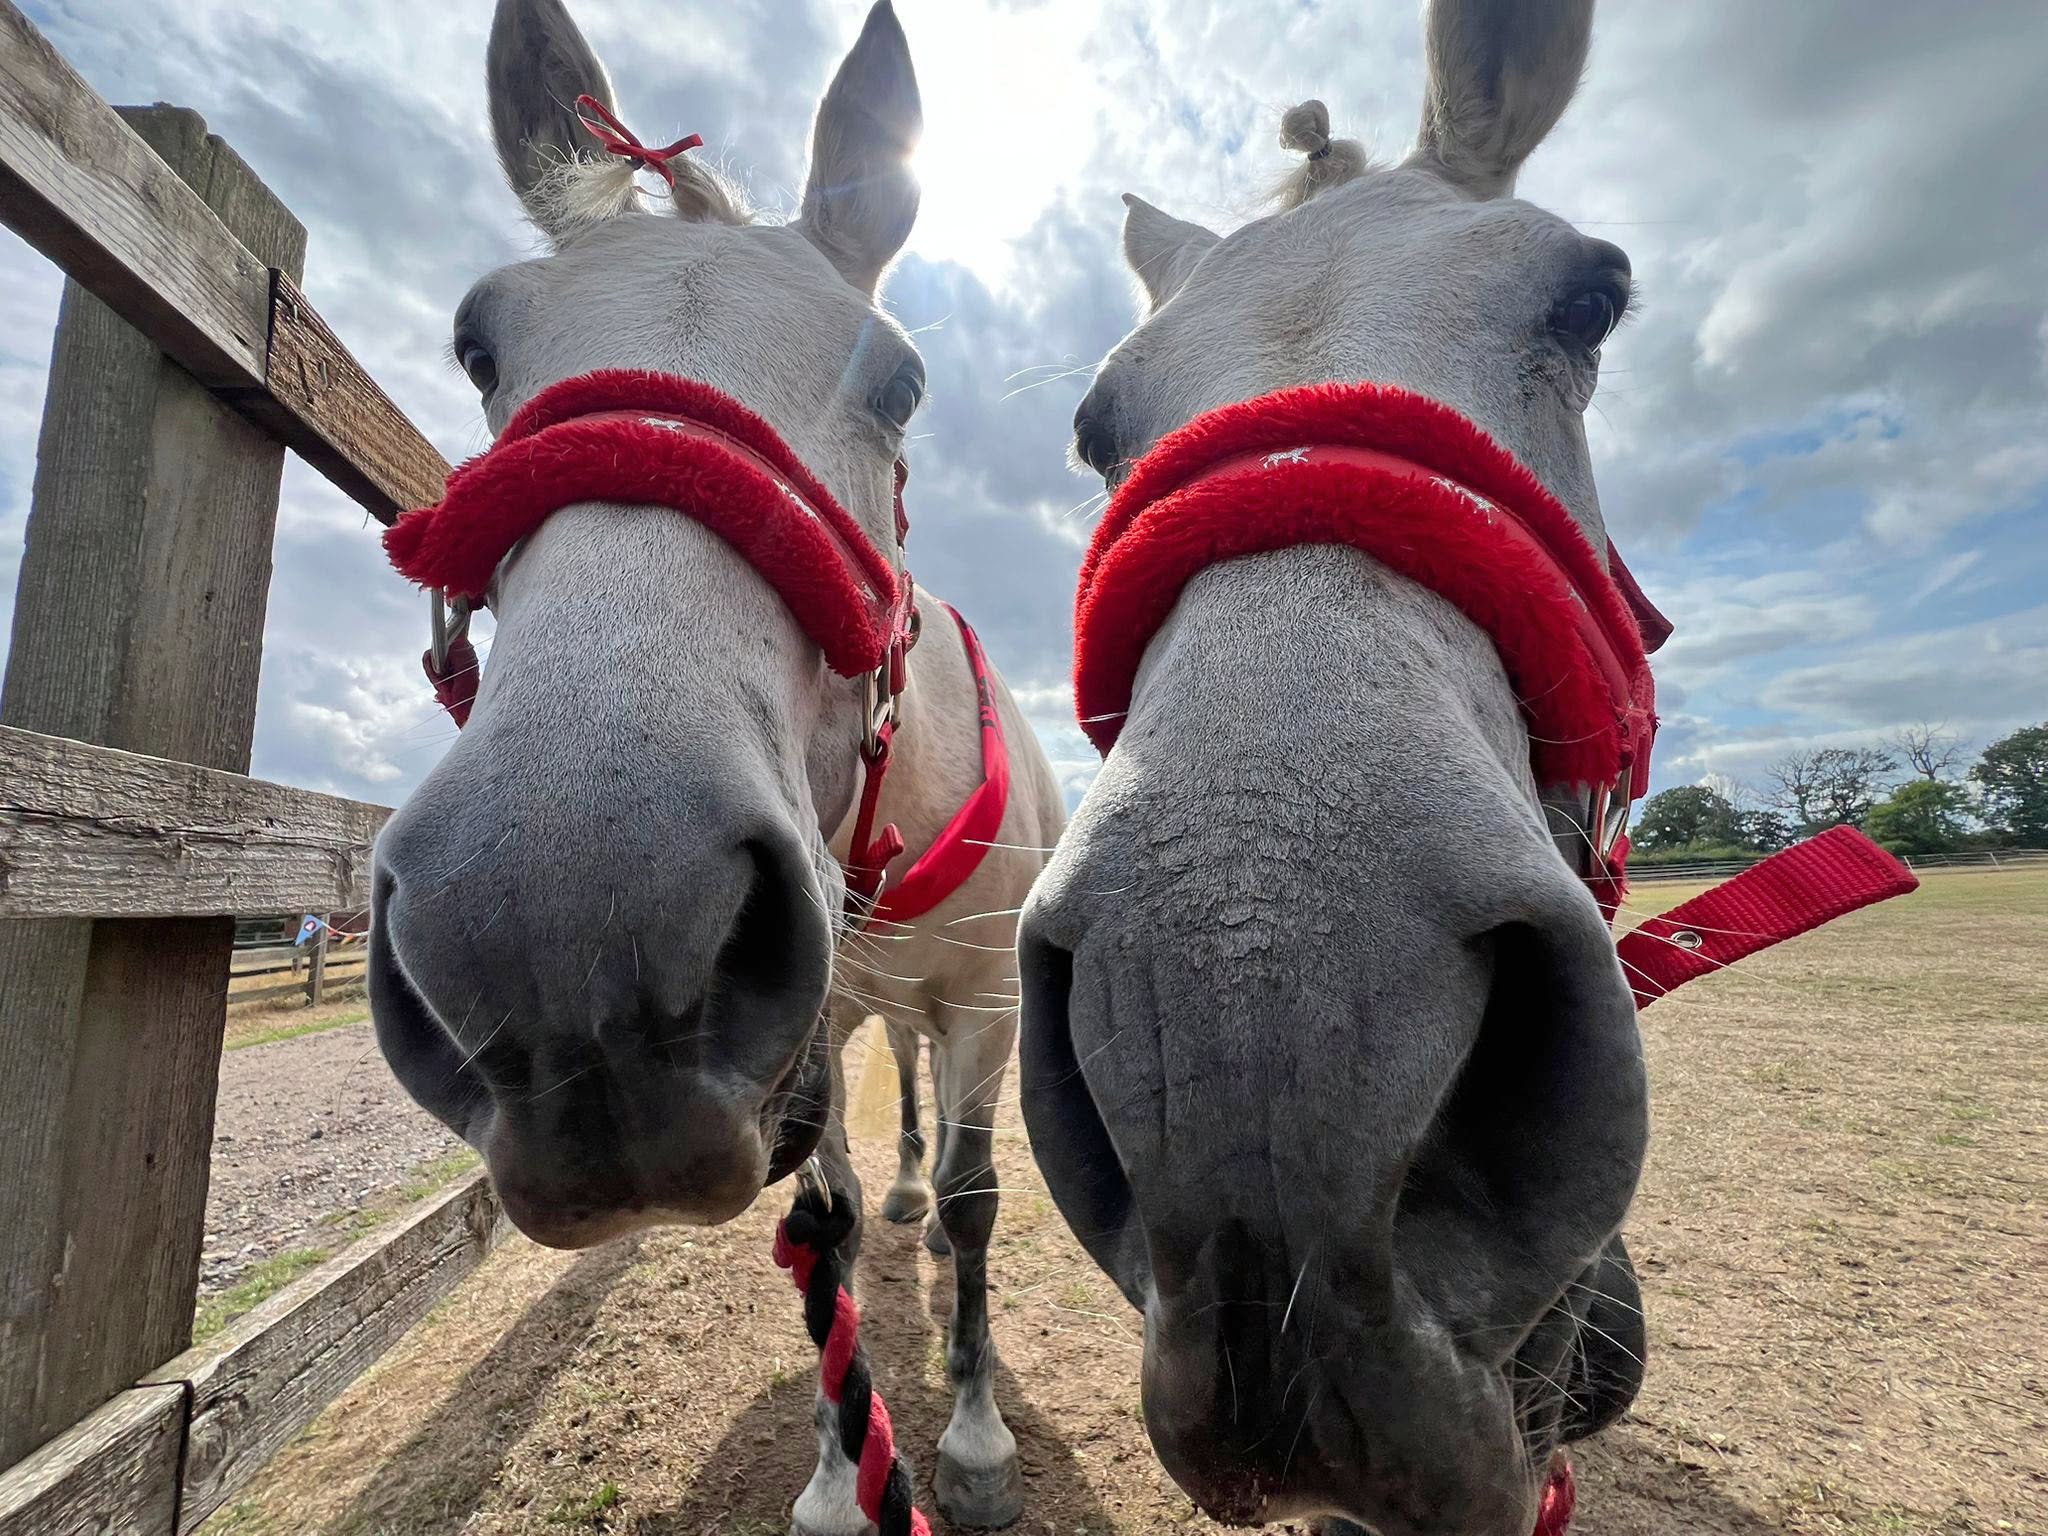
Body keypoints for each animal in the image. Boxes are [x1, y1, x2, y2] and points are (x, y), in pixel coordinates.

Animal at [366, 3, 1062, 1530]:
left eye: (901, 379)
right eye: (479, 349)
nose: (564, 938)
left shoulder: (985, 1000)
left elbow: (983, 1199)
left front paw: (977, 1436)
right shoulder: (818, 1022)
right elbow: (827, 1222)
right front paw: (837, 1474)